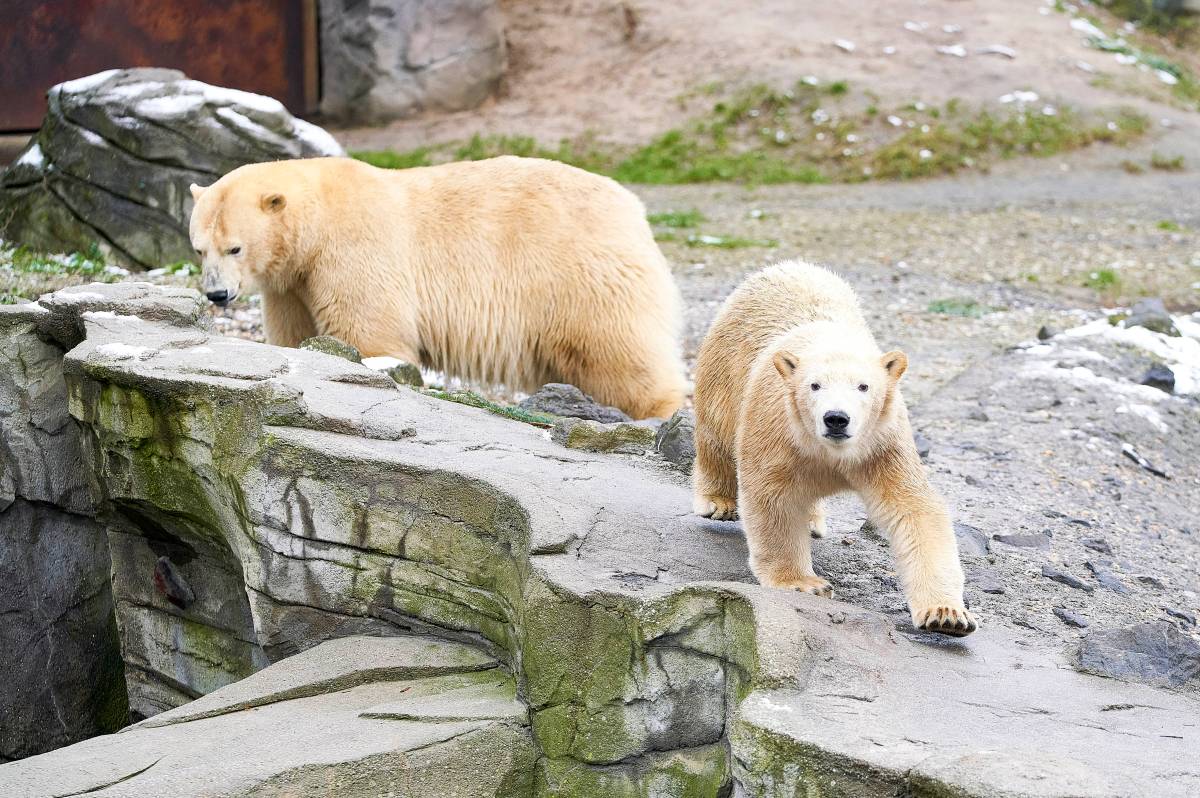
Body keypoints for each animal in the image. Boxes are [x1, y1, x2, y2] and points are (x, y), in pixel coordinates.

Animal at [187, 153, 686, 417]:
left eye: (234, 248)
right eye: (199, 249)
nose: (217, 294)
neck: (320, 219)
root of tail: (633, 208)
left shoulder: (354, 250)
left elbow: (372, 333)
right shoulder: (292, 284)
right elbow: (295, 334)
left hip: (577, 274)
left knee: (613, 350)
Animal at [696, 260, 974, 633]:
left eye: (863, 386)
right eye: (814, 385)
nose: (836, 419)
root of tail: (788, 266)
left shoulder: (883, 443)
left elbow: (914, 509)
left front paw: (947, 615)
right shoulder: (776, 429)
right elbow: (772, 498)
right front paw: (804, 583)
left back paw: (812, 521)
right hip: (726, 366)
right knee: (716, 431)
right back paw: (719, 502)